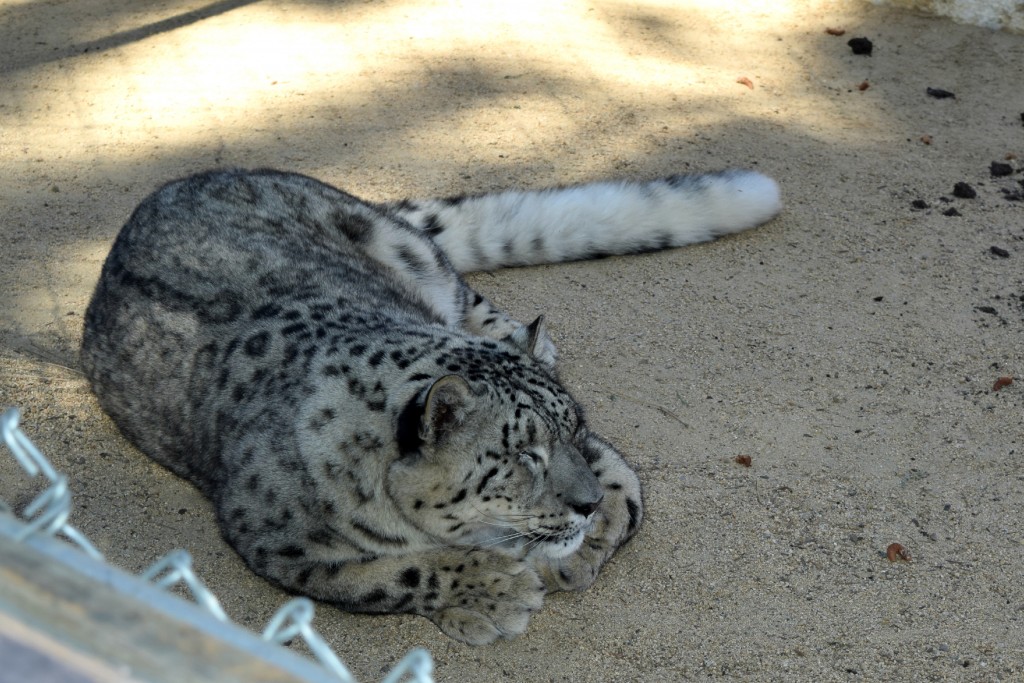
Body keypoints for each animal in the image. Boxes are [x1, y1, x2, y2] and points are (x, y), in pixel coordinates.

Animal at [81, 167, 781, 644]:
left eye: (574, 429)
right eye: (524, 455)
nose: (582, 506)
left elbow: (624, 474)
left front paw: (595, 532)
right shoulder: (282, 546)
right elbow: (393, 576)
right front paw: (499, 593)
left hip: (418, 259)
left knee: (467, 295)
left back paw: (524, 334)